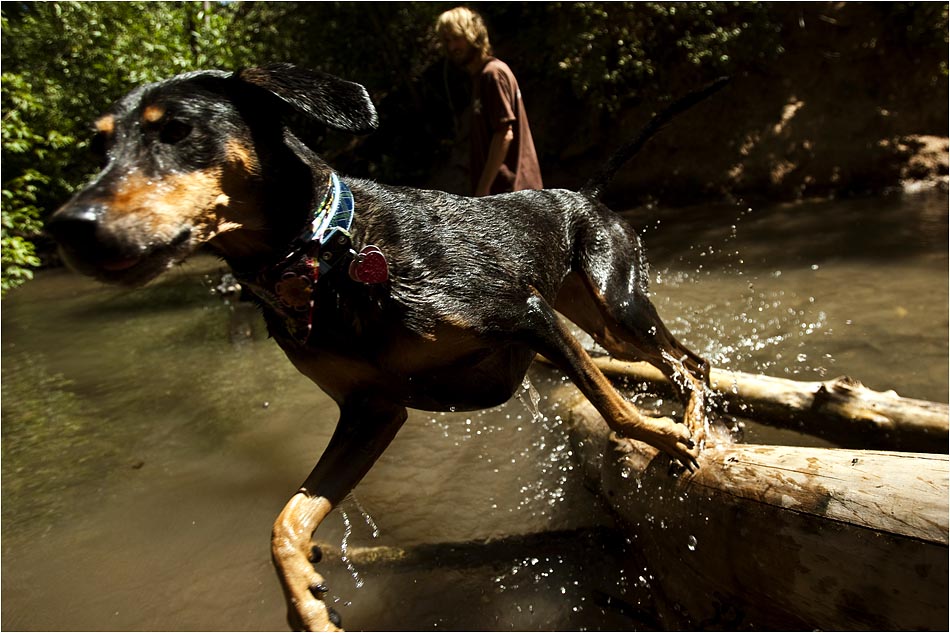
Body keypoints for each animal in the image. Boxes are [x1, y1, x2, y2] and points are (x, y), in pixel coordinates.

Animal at [50, 66, 720, 628]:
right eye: (99, 148)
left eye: (177, 129)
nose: (67, 227)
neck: (326, 259)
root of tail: (582, 195)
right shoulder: (371, 413)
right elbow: (285, 522)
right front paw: (305, 602)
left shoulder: (527, 316)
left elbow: (615, 408)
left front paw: (660, 436)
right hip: (597, 318)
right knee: (681, 362)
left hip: (618, 307)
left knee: (691, 363)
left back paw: (693, 424)